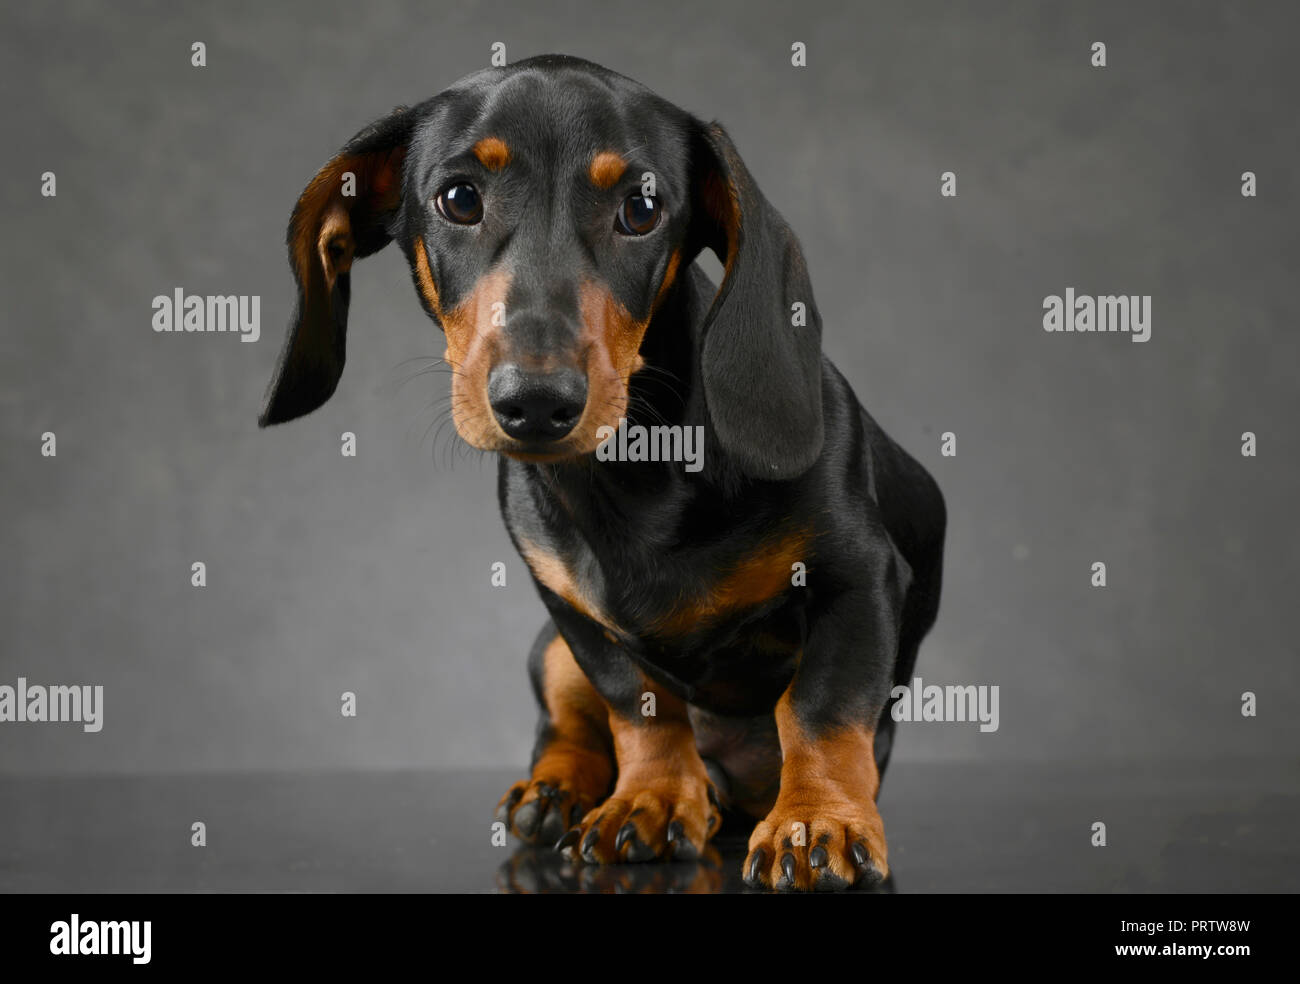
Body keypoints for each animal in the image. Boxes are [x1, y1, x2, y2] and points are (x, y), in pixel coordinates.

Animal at [256, 57, 946, 894]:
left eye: (642, 208)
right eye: (459, 199)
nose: (536, 402)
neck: (633, 478)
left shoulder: (860, 576)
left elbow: (821, 708)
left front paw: (818, 822)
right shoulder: (571, 613)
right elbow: (636, 707)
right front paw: (650, 801)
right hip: (546, 652)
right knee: (567, 725)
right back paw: (556, 791)